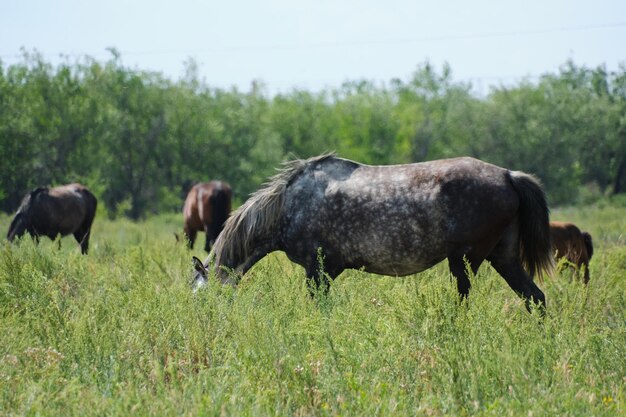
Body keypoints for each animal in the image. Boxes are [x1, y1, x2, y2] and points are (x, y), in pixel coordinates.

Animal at [191, 154, 552, 310]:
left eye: (200, 296)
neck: (289, 204)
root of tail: (508, 175)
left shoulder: (317, 270)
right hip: (503, 258)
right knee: (536, 298)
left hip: (465, 262)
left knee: (463, 302)